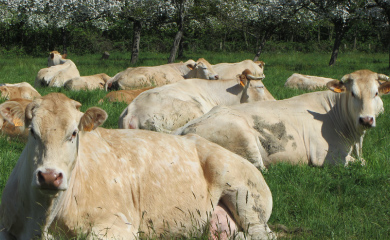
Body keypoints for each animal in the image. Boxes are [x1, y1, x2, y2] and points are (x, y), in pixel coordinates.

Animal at [0, 92, 276, 240]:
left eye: (74, 133)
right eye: (32, 132)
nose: (49, 176)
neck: (42, 221)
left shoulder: (117, 226)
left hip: (246, 198)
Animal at [175, 69, 390, 170]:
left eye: (376, 93)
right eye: (353, 93)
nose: (366, 120)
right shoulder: (328, 157)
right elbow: (362, 164)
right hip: (244, 138)